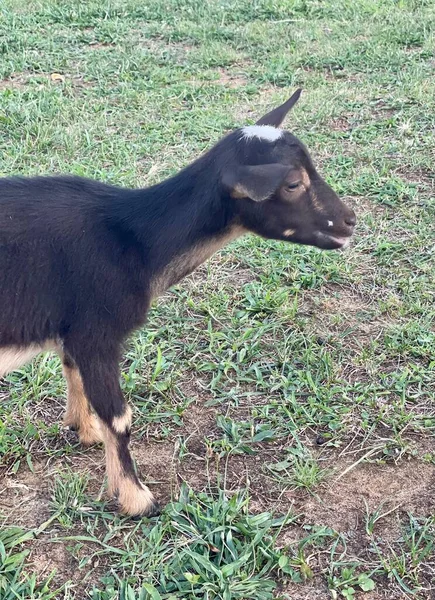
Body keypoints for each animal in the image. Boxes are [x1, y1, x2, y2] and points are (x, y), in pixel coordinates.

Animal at [0, 89, 358, 516]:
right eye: (291, 183)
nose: (349, 221)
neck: (134, 241)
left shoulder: (71, 329)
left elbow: (74, 375)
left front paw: (83, 430)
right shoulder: (96, 330)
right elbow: (119, 417)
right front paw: (136, 498)